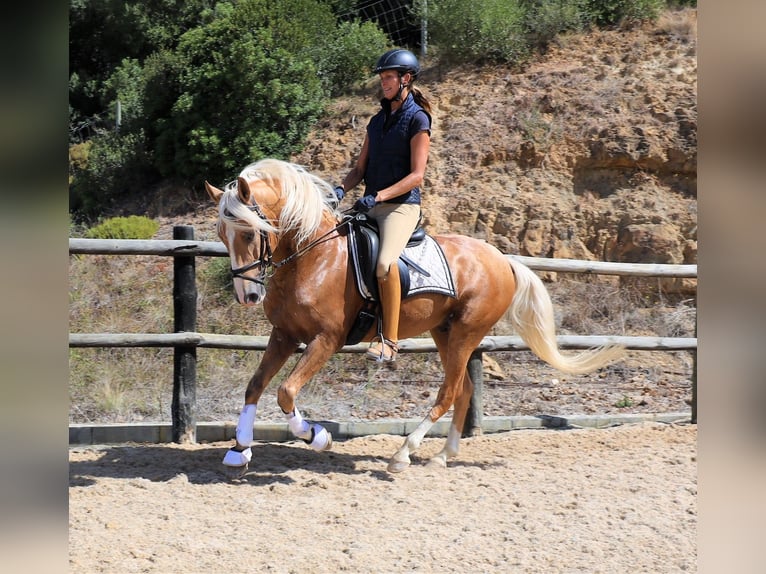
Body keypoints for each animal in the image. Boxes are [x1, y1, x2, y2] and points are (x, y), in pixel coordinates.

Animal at [206, 160, 624, 474]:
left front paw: (317, 436)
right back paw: (442, 456)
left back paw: (403, 453)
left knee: (449, 391)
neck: (313, 257)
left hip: (466, 333)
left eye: (249, 233)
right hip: (445, 332)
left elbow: (286, 392)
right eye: (223, 235)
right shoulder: (284, 334)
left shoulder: (327, 340)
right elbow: (255, 387)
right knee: (463, 389)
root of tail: (502, 259)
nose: (248, 295)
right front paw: (239, 449)